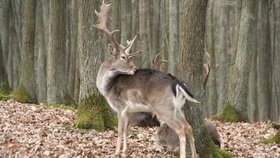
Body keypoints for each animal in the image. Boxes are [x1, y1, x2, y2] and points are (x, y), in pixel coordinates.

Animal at [95, 1, 199, 158]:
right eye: (123, 57)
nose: (135, 68)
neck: (107, 88)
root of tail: (177, 83)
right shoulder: (129, 110)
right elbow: (125, 130)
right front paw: (125, 151)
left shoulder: (120, 107)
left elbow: (119, 130)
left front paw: (116, 152)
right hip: (179, 107)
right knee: (189, 126)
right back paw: (194, 154)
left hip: (163, 107)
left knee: (181, 128)